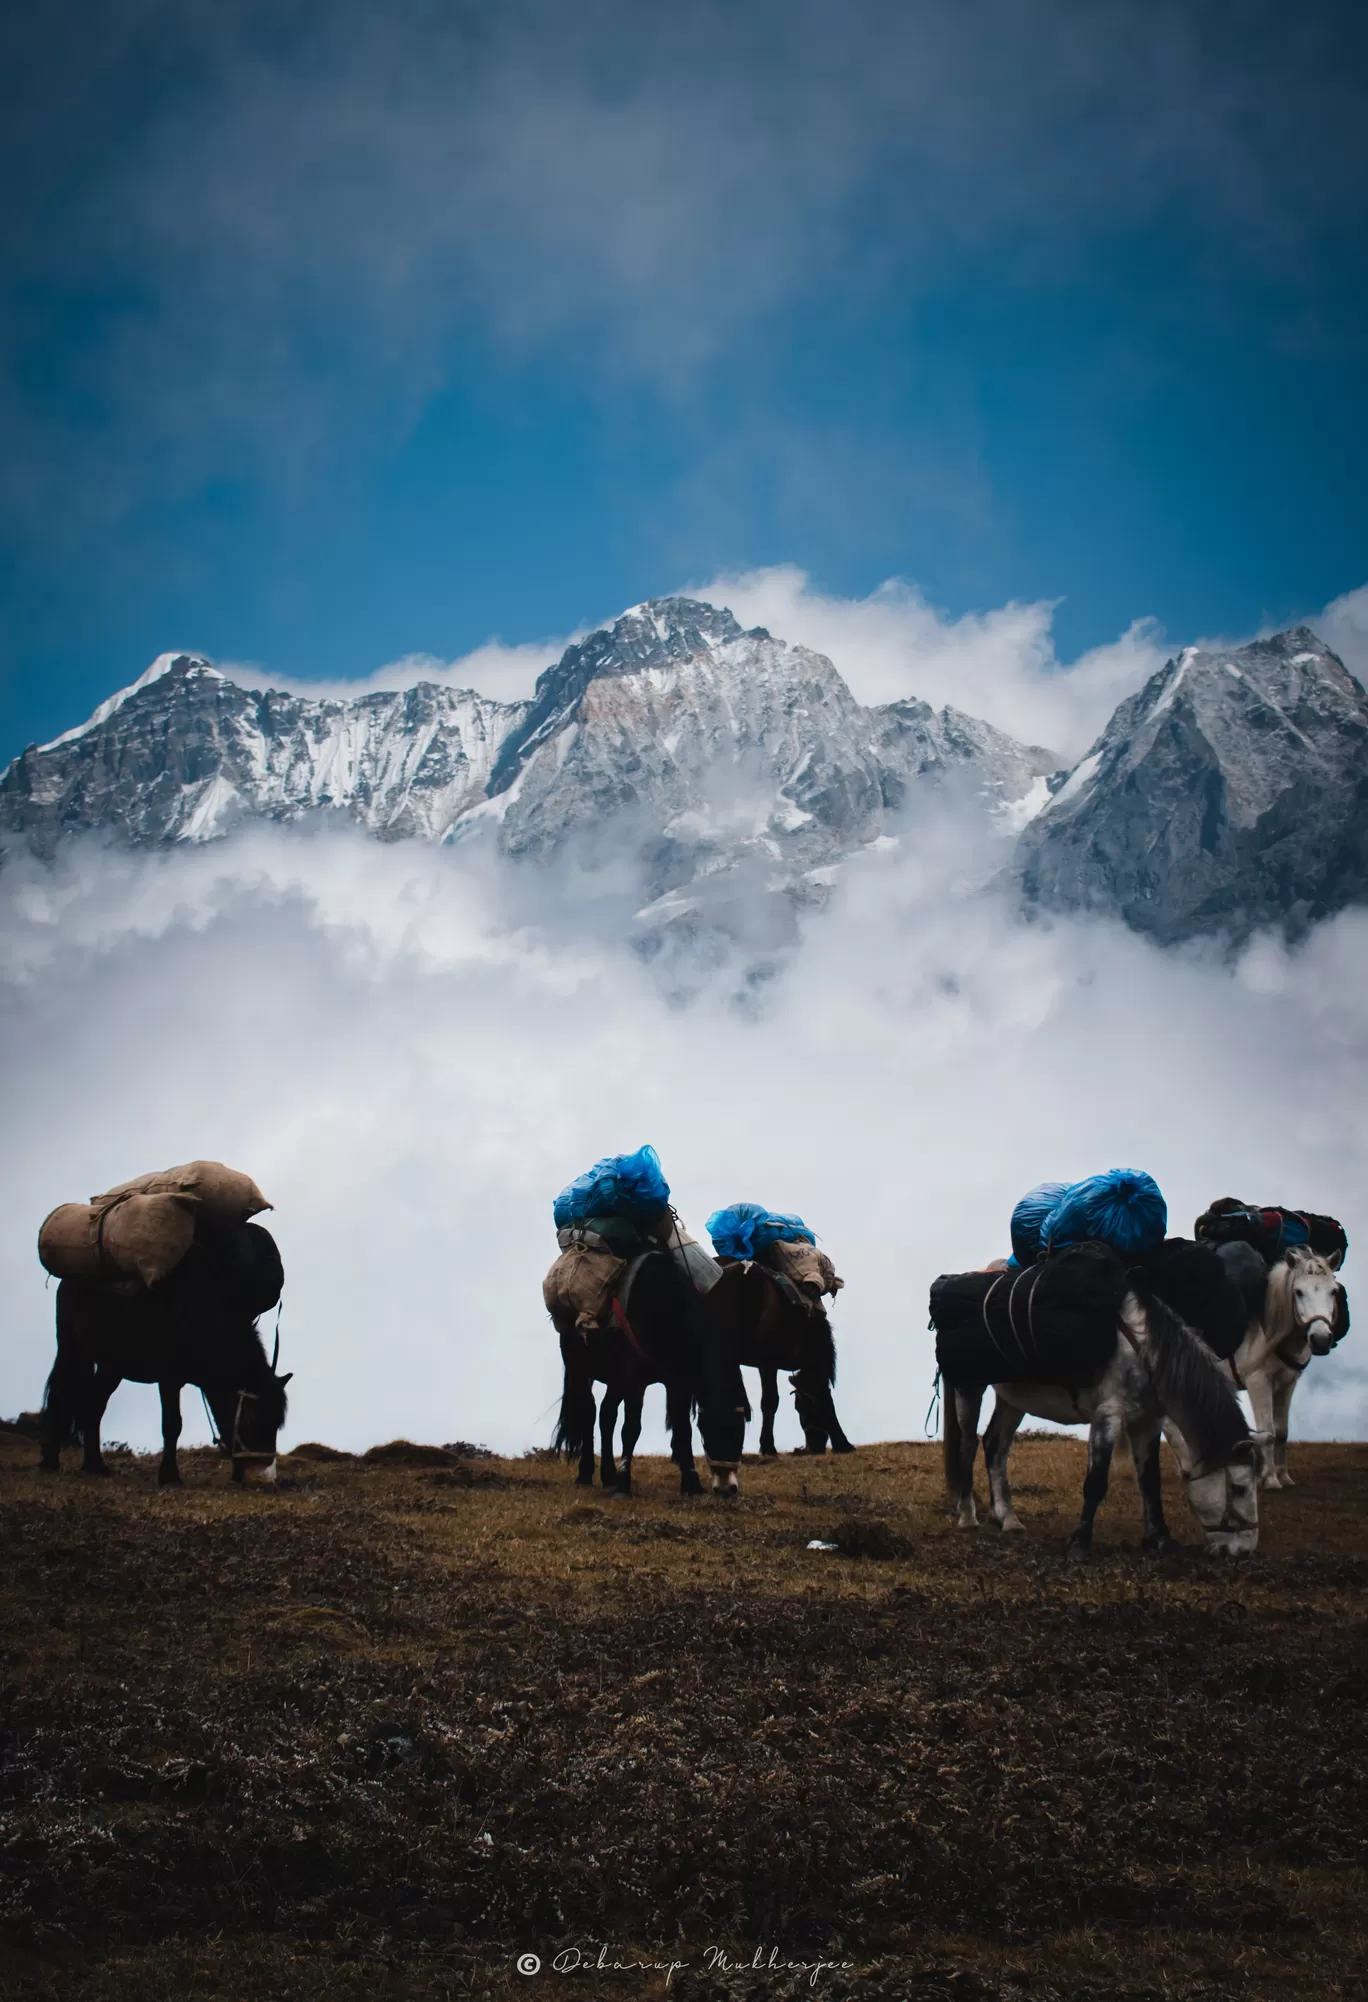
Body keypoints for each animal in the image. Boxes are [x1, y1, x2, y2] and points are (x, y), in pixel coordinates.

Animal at [40, 1217, 292, 1489]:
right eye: (252, 1420)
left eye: (276, 1424)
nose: (264, 1477)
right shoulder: (169, 1378)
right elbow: (172, 1424)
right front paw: (170, 1476)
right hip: (72, 1350)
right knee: (61, 1393)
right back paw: (50, 1461)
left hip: (112, 1365)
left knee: (94, 1404)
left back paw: (95, 1465)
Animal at [1217, 1241, 1345, 1497]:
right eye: (1299, 1292)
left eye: (1333, 1291)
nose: (1320, 1340)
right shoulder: (1258, 1381)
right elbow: (1267, 1432)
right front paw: (1268, 1478)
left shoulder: (1288, 1382)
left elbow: (1282, 1431)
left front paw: (1283, 1476)